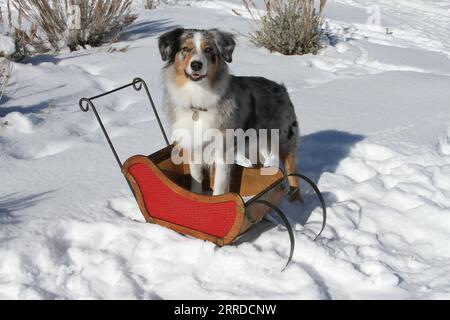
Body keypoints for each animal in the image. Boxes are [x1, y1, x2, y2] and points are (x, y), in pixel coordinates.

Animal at [158, 28, 302, 201]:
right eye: (185, 49)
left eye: (208, 49)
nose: (196, 65)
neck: (198, 100)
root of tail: (282, 88)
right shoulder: (194, 147)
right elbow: (196, 181)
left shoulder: (223, 152)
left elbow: (219, 188)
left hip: (285, 141)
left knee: (294, 177)